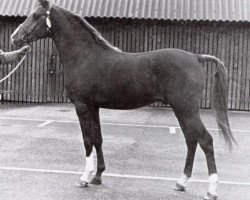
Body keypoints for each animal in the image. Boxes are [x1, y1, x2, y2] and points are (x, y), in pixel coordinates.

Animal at [10, 0, 236, 199]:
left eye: (36, 15)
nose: (14, 38)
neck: (84, 56)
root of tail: (196, 57)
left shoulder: (82, 106)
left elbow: (87, 140)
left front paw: (84, 178)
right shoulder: (94, 107)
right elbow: (98, 139)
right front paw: (98, 176)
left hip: (186, 109)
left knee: (205, 141)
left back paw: (211, 191)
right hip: (181, 110)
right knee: (191, 140)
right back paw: (181, 183)